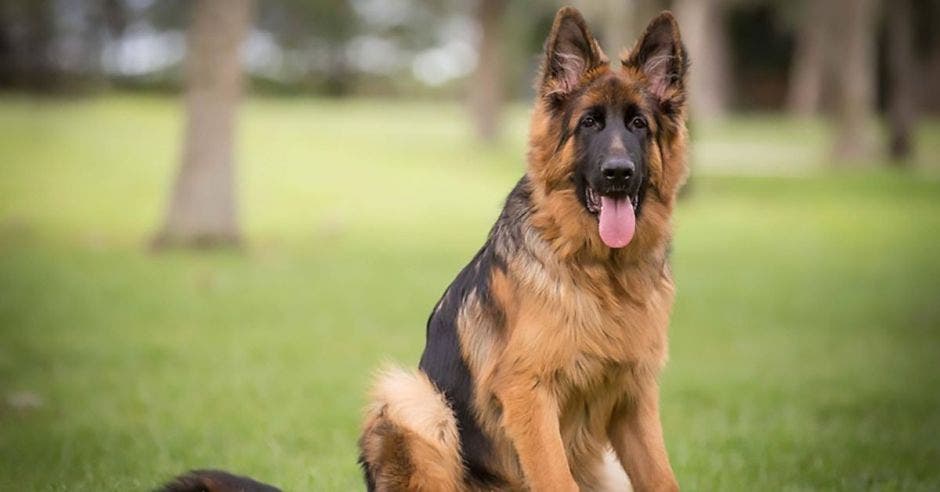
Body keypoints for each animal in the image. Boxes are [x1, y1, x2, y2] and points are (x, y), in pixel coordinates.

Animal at [360, 6, 692, 492]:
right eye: (589, 123)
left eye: (638, 125)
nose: (618, 173)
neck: (600, 272)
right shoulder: (529, 394)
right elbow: (556, 478)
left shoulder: (635, 397)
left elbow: (663, 479)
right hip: (415, 400)